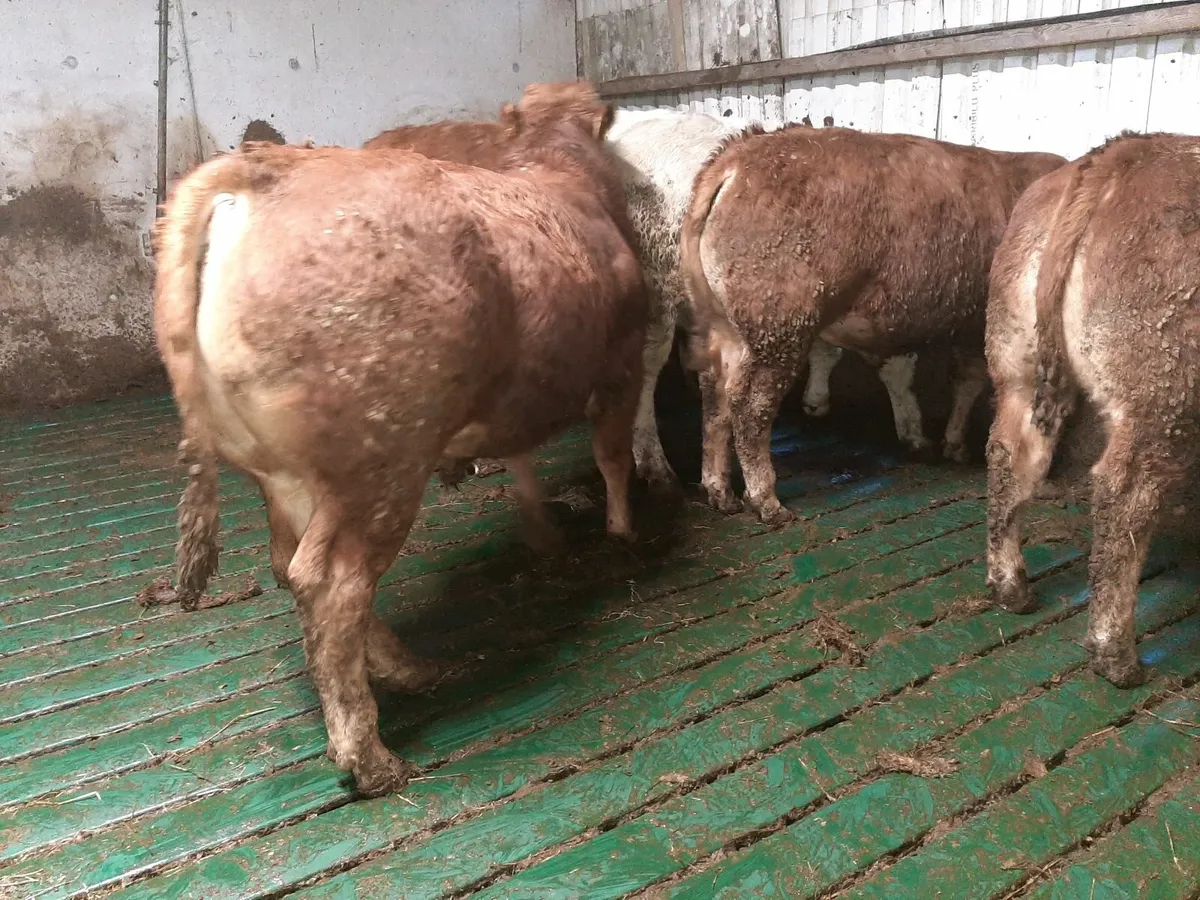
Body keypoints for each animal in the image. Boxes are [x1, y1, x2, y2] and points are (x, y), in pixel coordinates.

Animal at [138, 81, 647, 797]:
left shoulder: (513, 392)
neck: (557, 165)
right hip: (385, 462)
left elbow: (522, 459)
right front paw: (624, 536)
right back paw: (370, 755)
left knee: (290, 567)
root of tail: (266, 169)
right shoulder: (625, 361)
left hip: (287, 472)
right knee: (332, 583)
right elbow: (611, 456)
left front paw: (545, 533)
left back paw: (405, 668)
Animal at [680, 123, 1067, 525]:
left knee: (714, 396)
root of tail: (736, 157)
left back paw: (718, 490)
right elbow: (980, 385)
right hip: (778, 328)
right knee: (750, 405)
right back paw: (765, 499)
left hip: (723, 326)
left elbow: (937, 378)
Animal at [985, 130, 1200, 689]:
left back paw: (1011, 586)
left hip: (1017, 366)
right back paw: (1116, 656)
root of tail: (1120, 155)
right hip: (1161, 396)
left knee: (1009, 455)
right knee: (1125, 498)